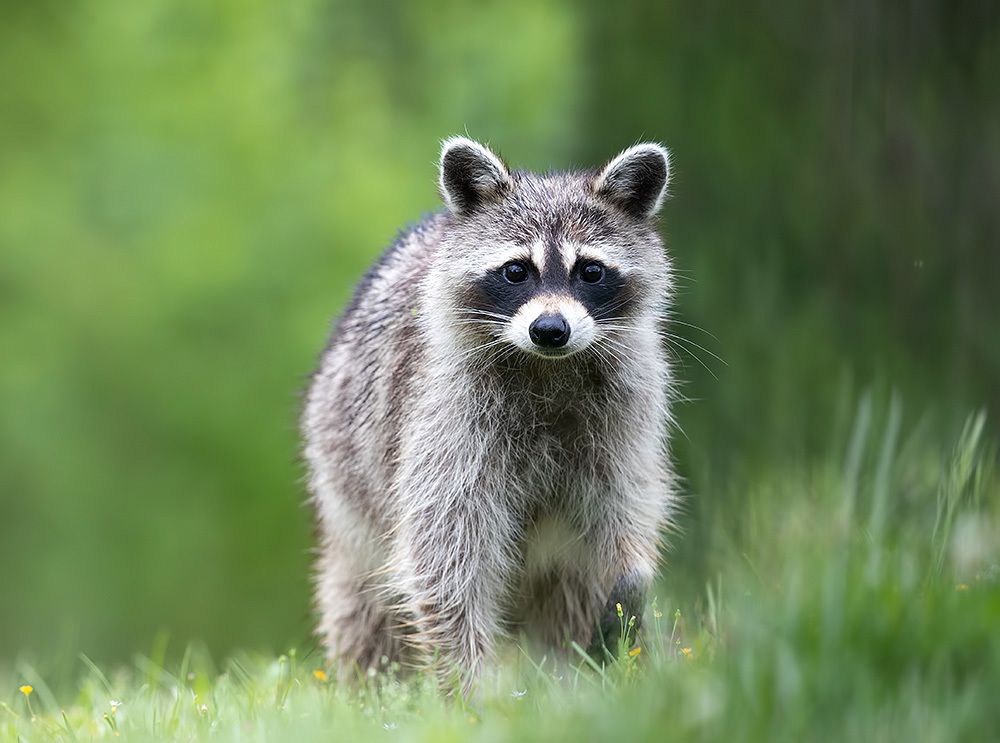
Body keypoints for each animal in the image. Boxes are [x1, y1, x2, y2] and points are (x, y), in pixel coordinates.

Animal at [302, 137, 676, 690]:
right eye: (516, 270)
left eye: (590, 270)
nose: (550, 330)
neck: (547, 366)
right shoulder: (444, 413)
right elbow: (445, 554)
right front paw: (467, 687)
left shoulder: (626, 414)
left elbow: (620, 520)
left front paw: (629, 589)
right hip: (346, 484)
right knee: (362, 603)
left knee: (570, 593)